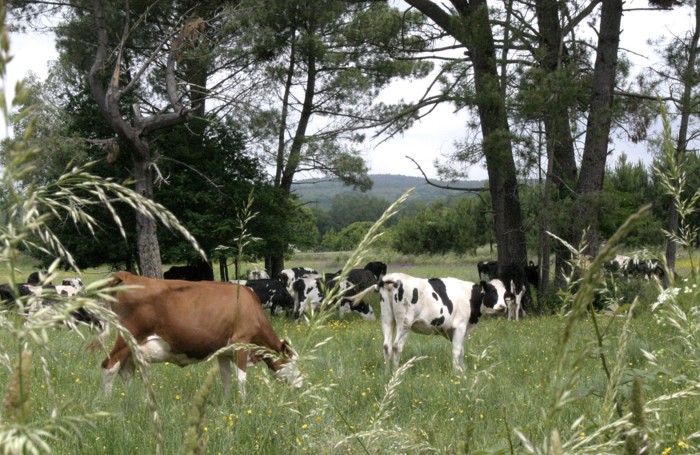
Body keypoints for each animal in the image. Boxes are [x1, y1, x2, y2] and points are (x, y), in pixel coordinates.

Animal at [100, 272, 302, 398]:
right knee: (110, 366)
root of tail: (127, 275)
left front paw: (227, 402)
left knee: (126, 370)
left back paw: (131, 404)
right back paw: (109, 404)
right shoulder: (242, 342)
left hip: (132, 347)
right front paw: (243, 404)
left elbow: (226, 377)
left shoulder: (224, 351)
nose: (300, 385)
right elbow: (241, 378)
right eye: (292, 362)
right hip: (128, 337)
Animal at [372, 273, 510, 372]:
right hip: (405, 323)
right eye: (492, 291)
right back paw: (396, 372)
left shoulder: (454, 330)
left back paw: (387, 373)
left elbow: (461, 350)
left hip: (387, 319)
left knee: (387, 346)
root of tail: (395, 277)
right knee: (397, 346)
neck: (468, 296)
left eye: (505, 294)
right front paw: (457, 372)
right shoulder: (460, 326)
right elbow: (457, 351)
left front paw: (463, 370)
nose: (502, 307)